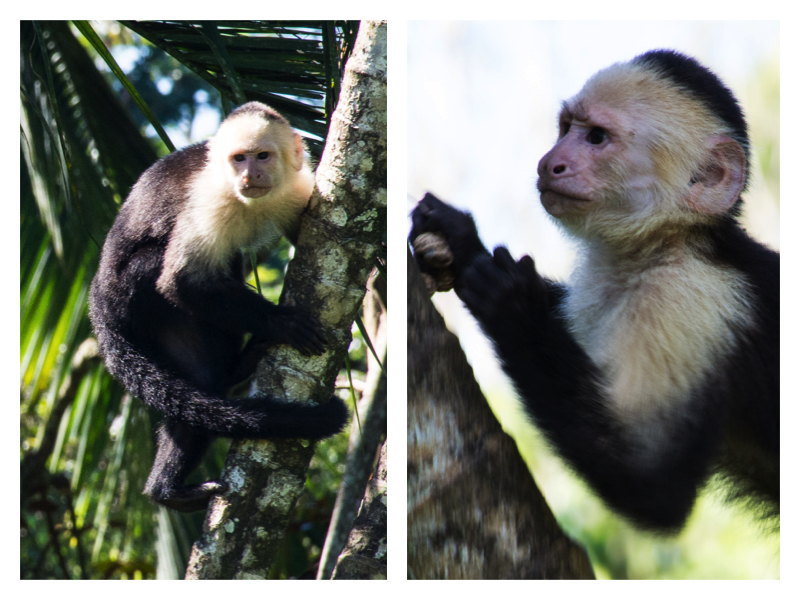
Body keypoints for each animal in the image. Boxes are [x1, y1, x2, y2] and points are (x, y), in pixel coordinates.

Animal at [89, 101, 349, 512]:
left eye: (262, 156)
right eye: (239, 158)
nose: (249, 174)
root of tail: (97, 301)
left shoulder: (299, 189)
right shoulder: (211, 200)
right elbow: (181, 280)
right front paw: (280, 321)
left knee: (202, 386)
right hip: (126, 301)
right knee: (162, 264)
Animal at [410, 50, 779, 532]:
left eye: (597, 138)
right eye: (566, 127)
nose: (549, 163)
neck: (665, 245)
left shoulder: (689, 300)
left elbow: (652, 486)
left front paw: (512, 304)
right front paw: (459, 242)